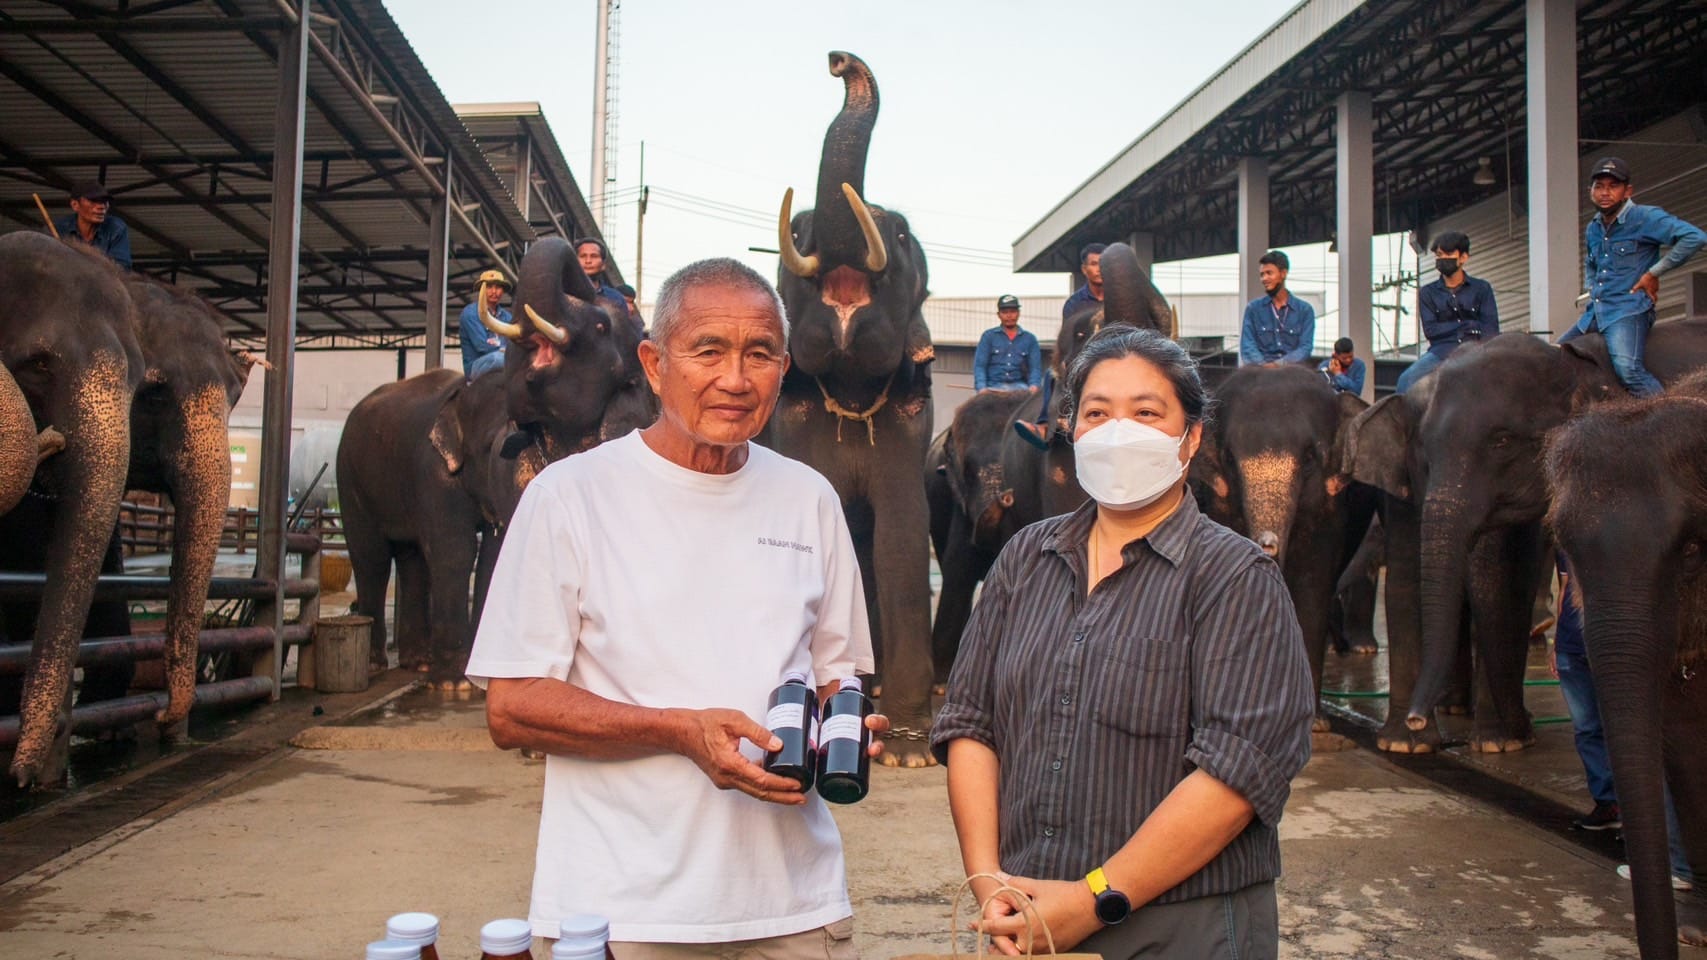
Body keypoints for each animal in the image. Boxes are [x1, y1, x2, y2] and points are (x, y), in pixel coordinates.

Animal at [339, 237, 651, 685]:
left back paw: (417, 662)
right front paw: (458, 685)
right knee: (372, 556)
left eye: (600, 328)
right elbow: (460, 547)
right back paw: (382, 665)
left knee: (410, 558)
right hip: (349, 471)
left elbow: (492, 549)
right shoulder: (437, 468)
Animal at [1187, 364, 1374, 731]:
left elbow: (1312, 586)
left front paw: (1314, 725)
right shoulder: (1220, 504)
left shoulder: (1330, 512)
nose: (1268, 546)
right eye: (1229, 458)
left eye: (1309, 458)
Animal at [1349, 325, 1707, 754]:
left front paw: (1499, 745)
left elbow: (1508, 576)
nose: (1417, 718)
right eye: (1424, 454)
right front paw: (1406, 746)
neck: (1565, 360)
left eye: (1502, 442)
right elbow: (1409, 578)